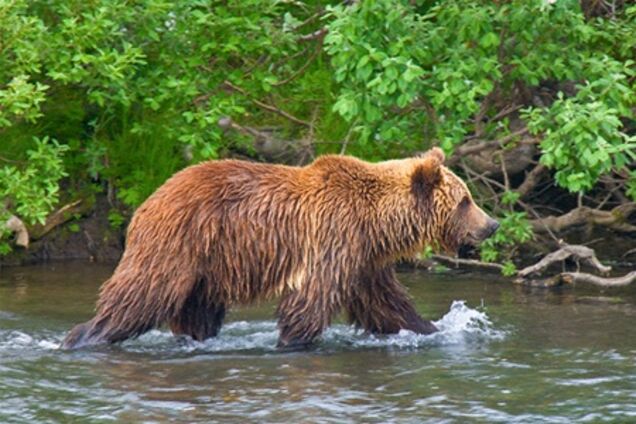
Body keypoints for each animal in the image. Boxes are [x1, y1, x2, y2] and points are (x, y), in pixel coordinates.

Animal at [62, 147, 500, 350]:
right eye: (465, 200)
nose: (492, 224)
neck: (376, 222)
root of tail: (147, 200)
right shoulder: (334, 237)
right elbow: (311, 298)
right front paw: (291, 341)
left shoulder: (363, 258)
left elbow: (386, 304)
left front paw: (432, 327)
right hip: (178, 244)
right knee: (141, 295)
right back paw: (82, 336)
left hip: (208, 268)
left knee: (197, 312)